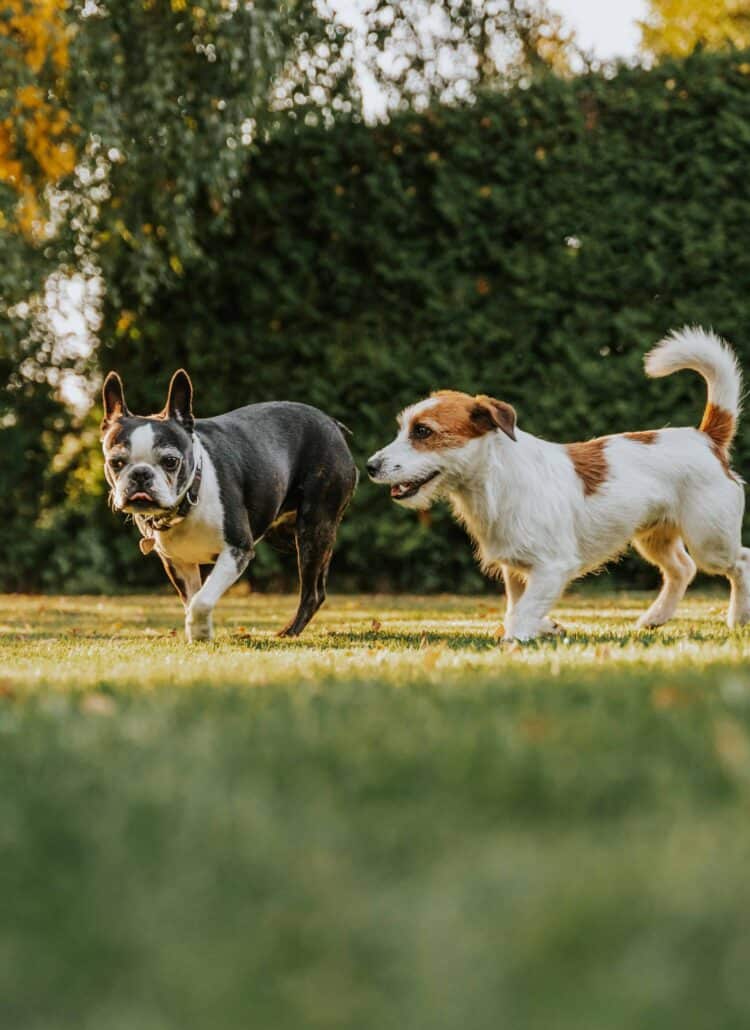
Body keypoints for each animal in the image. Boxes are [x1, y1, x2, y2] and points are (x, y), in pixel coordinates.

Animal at [100, 370, 356, 638]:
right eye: (115, 462)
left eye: (170, 461)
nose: (141, 474)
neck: (189, 499)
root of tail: (331, 422)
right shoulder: (178, 563)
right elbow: (192, 600)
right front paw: (196, 631)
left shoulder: (237, 549)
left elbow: (202, 601)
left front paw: (201, 632)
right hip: (287, 534)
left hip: (313, 527)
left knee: (312, 591)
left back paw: (288, 632)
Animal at [368, 325, 750, 638]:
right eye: (403, 428)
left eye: (422, 431)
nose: (370, 466)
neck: (496, 480)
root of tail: (705, 438)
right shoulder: (516, 571)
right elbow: (518, 606)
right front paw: (545, 626)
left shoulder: (552, 567)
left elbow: (520, 614)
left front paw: (517, 638)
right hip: (654, 536)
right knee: (682, 569)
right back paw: (654, 618)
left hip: (709, 538)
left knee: (740, 560)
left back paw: (738, 618)